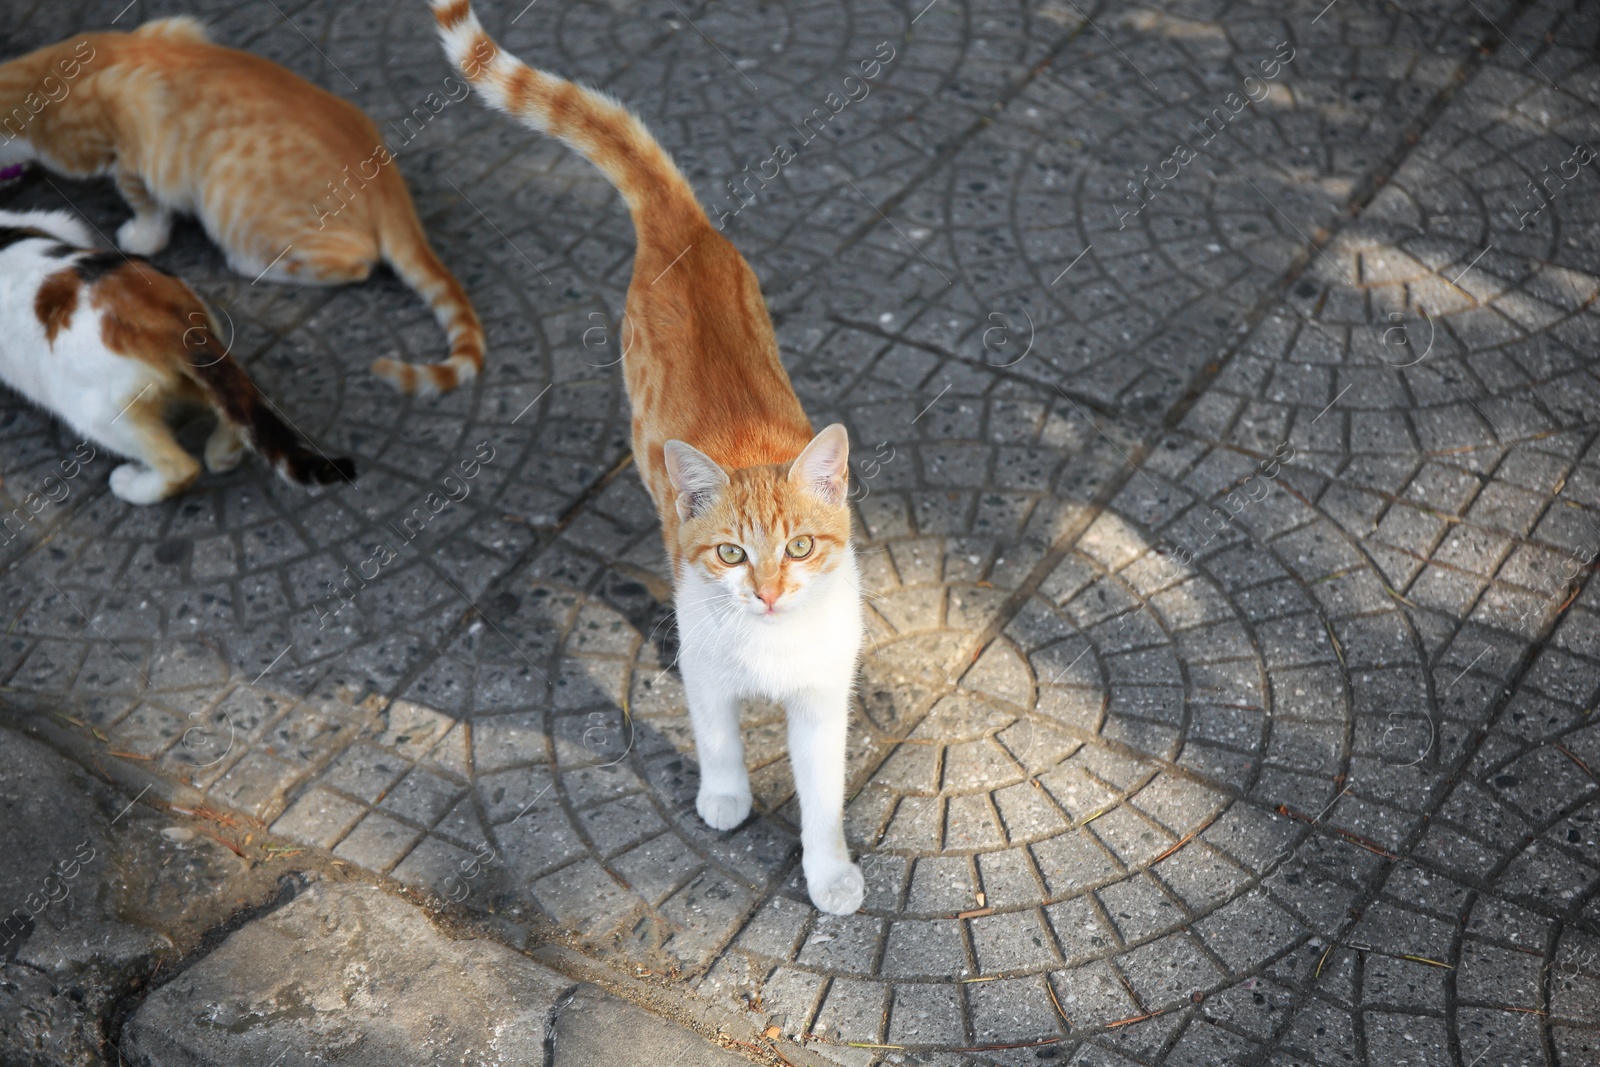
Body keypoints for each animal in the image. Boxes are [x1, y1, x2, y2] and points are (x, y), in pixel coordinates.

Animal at [0, 212, 353, 508]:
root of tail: (163, 319)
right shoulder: (55, 222)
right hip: (205, 362)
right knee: (238, 405)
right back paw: (223, 453)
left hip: (97, 411)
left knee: (181, 467)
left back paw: (134, 485)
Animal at [1, 18, 486, 396]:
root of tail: (388, 183)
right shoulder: (173, 27)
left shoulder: (129, 137)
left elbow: (145, 201)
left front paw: (143, 235)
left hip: (229, 198)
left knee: (354, 263)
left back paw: (254, 263)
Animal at [432, 2, 870, 921]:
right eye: (733, 553)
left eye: (801, 548)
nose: (767, 593)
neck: (768, 650)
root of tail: (686, 229)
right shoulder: (706, 664)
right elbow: (717, 733)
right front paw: (726, 796)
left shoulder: (822, 696)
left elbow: (822, 794)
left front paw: (829, 871)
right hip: (641, 444)